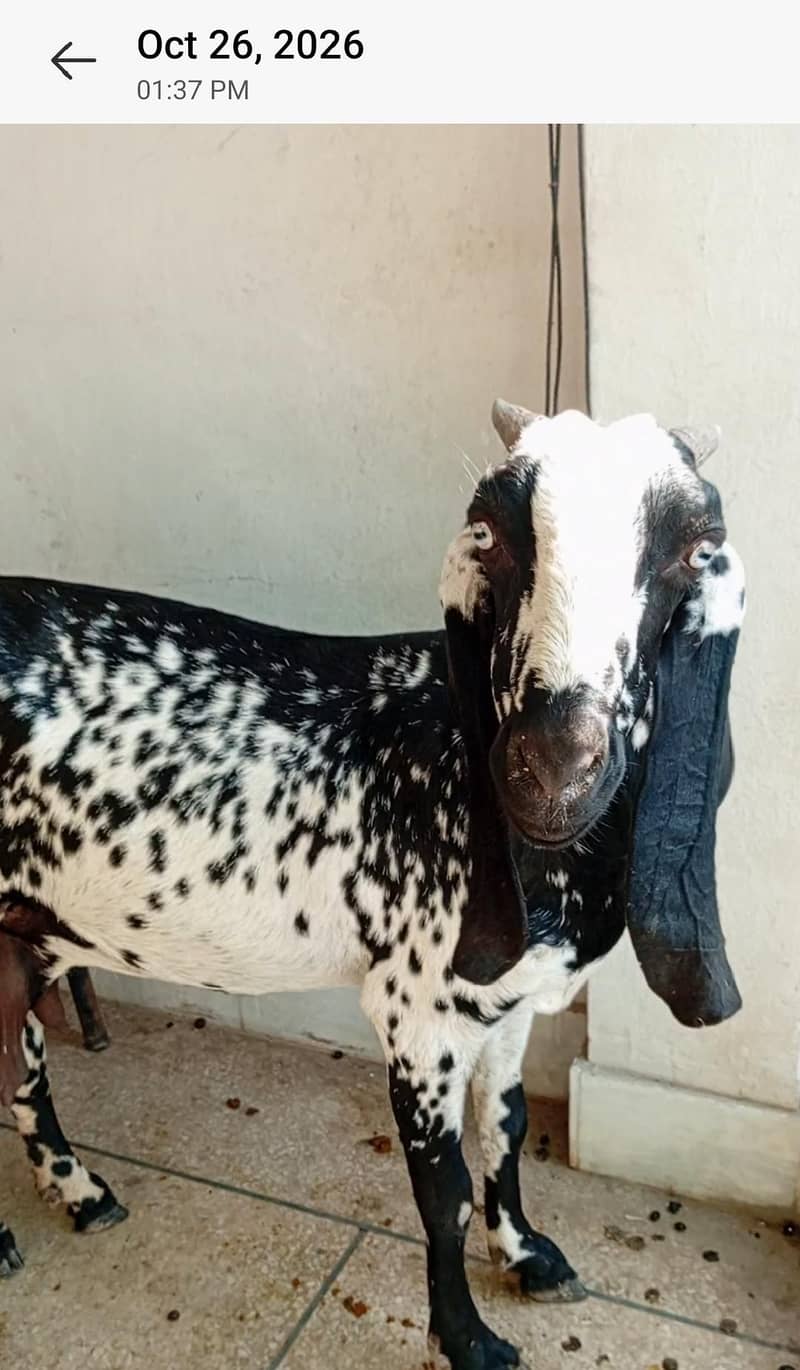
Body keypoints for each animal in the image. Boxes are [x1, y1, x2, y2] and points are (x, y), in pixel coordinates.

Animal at [0, 402, 745, 1370]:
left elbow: (505, 1130)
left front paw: (529, 1256)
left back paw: (80, 1192)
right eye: (488, 531)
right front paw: (467, 1339)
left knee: (18, 1062)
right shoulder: (416, 1011)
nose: (552, 769)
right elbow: (444, 1192)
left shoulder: (507, 1003)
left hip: (26, 928)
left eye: (695, 547)